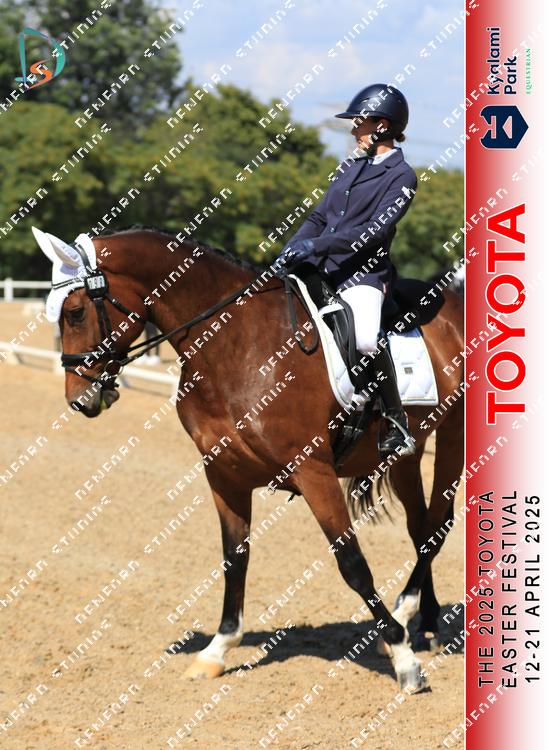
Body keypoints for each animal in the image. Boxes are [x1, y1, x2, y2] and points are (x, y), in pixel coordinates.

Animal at [33, 225, 464, 693]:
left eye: (75, 312)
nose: (80, 400)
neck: (233, 345)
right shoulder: (224, 474)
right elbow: (234, 558)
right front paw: (216, 650)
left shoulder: (312, 470)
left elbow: (352, 564)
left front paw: (404, 661)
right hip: (407, 453)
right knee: (420, 527)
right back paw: (424, 622)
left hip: (453, 436)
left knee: (437, 526)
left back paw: (406, 620)